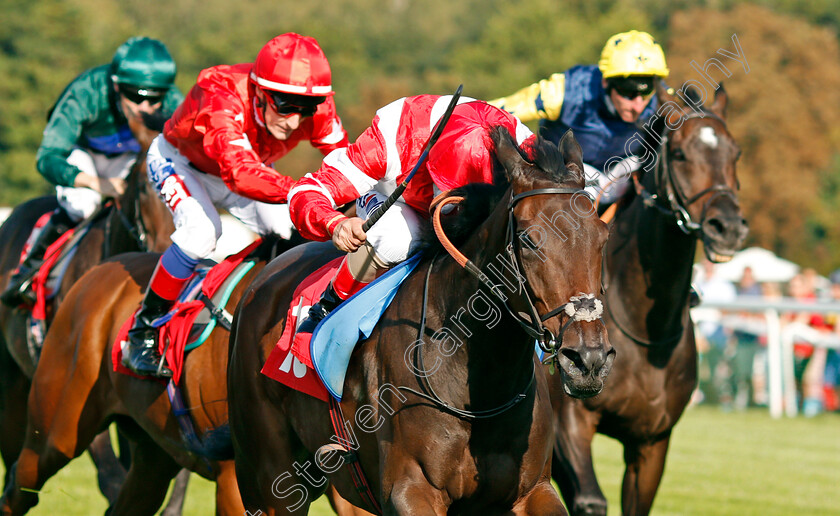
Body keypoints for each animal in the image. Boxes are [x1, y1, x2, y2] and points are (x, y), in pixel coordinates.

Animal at [230, 127, 616, 512]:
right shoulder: (411, 489)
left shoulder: (532, 489)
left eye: (602, 237)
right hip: (269, 479)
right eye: (528, 240)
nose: (588, 359)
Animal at [552, 84, 748, 516]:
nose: (726, 226)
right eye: (680, 154)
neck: (643, 327)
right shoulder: (569, 422)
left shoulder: (652, 441)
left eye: (736, 152)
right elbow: (590, 500)